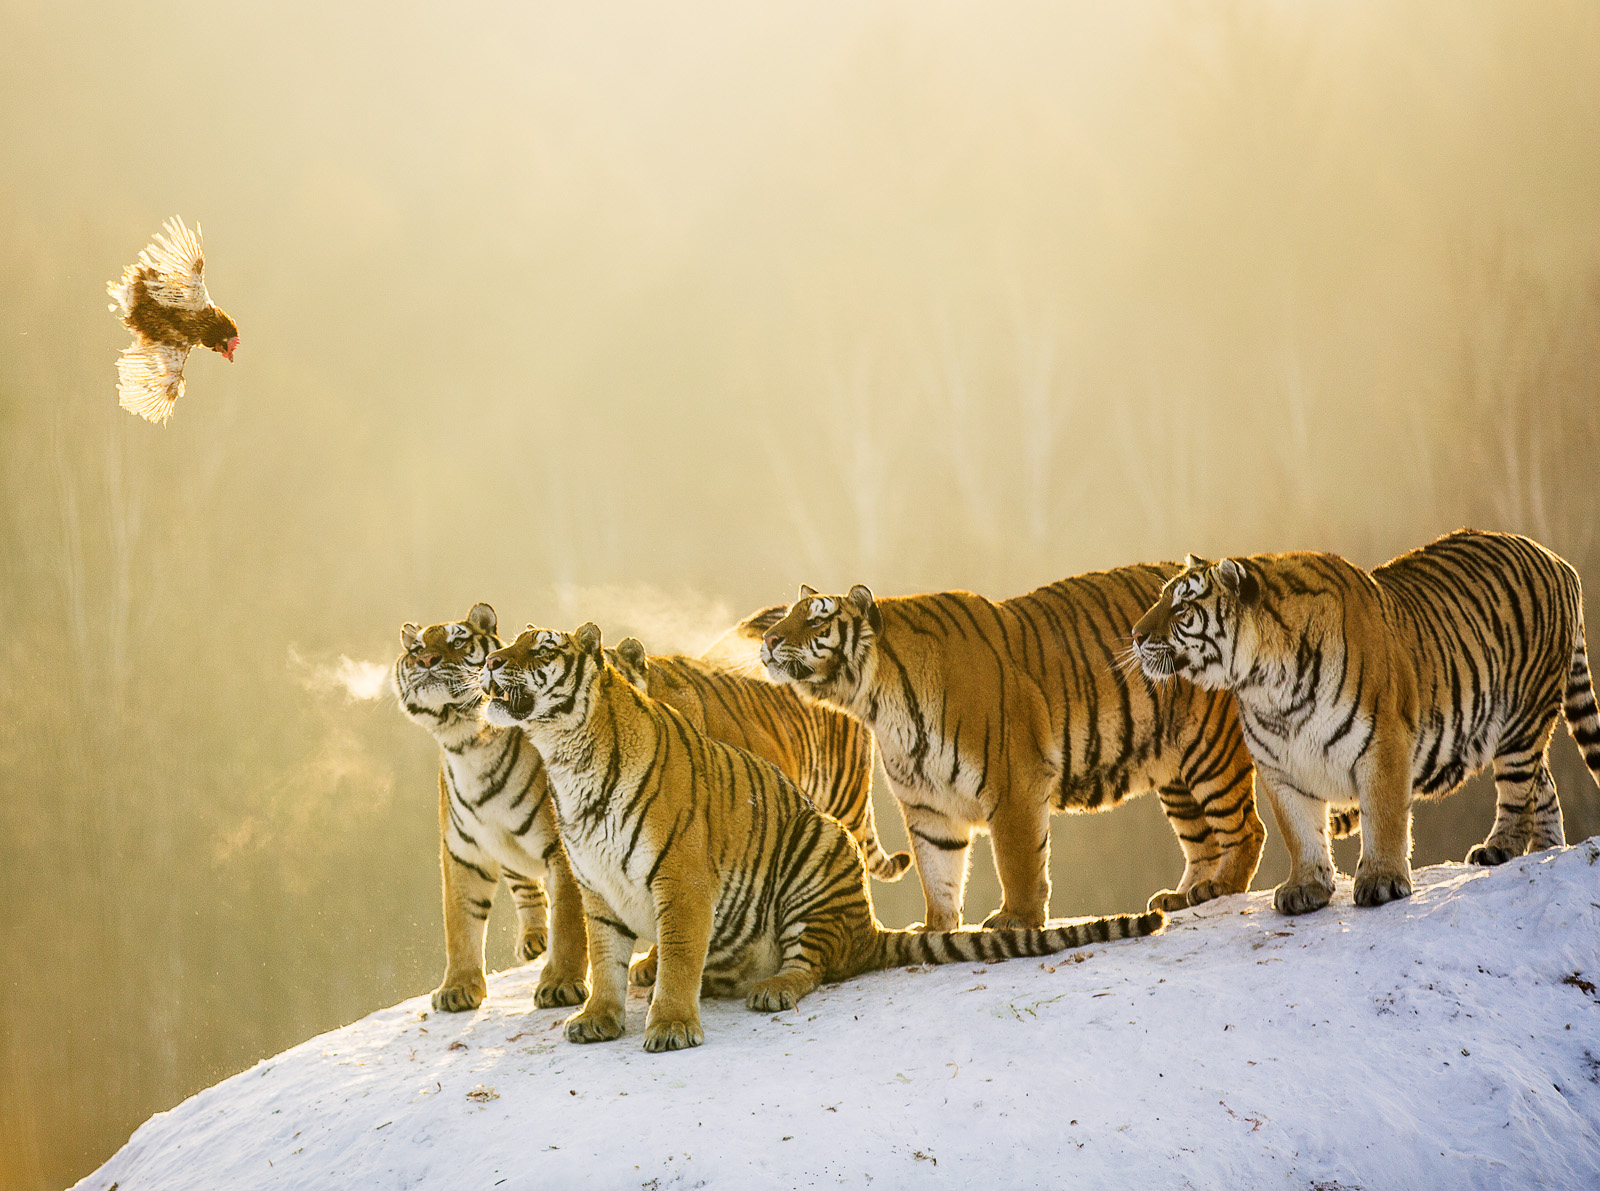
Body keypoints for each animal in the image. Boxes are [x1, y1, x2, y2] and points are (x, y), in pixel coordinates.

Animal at [390, 598, 592, 1011]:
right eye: (416, 648)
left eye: (458, 641)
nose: (426, 660)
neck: (468, 740)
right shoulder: (464, 853)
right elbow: (461, 922)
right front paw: (458, 988)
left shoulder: (561, 848)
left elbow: (569, 917)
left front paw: (561, 983)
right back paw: (533, 941)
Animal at [473, 624, 1164, 1050]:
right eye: (510, 644)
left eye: (540, 651)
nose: (494, 662)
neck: (565, 757)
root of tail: (869, 930)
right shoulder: (597, 885)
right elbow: (606, 962)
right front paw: (598, 1018)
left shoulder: (682, 877)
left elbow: (677, 956)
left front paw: (668, 1026)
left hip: (817, 853)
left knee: (814, 965)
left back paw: (772, 988)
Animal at [755, 569, 1267, 928]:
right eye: (789, 614)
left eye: (817, 617)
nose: (768, 639)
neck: (876, 702)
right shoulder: (926, 805)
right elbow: (936, 872)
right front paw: (934, 929)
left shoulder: (1012, 781)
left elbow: (1017, 859)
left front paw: (1015, 919)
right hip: (1174, 770)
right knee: (1202, 840)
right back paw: (1183, 895)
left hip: (1210, 750)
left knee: (1246, 829)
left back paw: (1220, 887)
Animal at [1126, 525, 1600, 915]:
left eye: (1181, 608)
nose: (1135, 634)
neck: (1265, 685)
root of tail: (1556, 559)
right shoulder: (1280, 766)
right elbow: (1300, 831)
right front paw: (1306, 888)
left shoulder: (1382, 743)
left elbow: (1383, 816)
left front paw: (1381, 882)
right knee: (1543, 785)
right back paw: (1544, 851)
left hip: (1524, 716)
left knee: (1519, 792)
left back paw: (1500, 848)